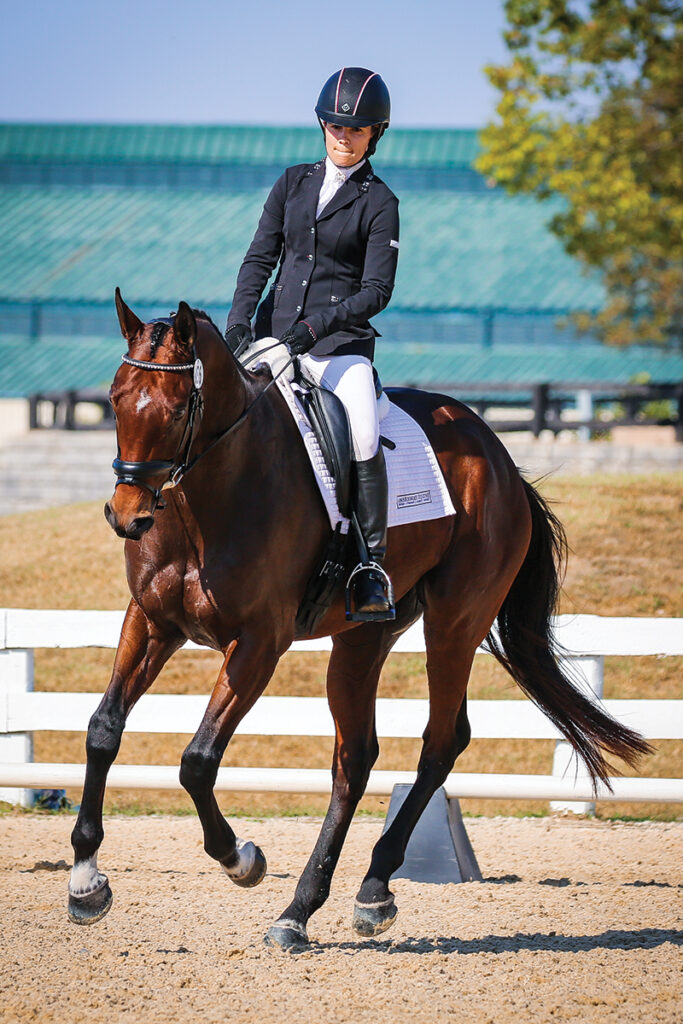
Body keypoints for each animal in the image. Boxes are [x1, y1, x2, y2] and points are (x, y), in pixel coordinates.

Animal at [67, 293, 650, 947]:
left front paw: (242, 859)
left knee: (440, 741)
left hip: (455, 625)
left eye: (174, 409)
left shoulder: (259, 643)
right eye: (115, 398)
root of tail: (498, 456)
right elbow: (103, 729)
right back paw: (301, 910)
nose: (127, 517)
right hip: (363, 638)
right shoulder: (150, 622)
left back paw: (371, 889)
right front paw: (86, 882)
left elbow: (198, 761)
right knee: (355, 758)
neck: (207, 499)